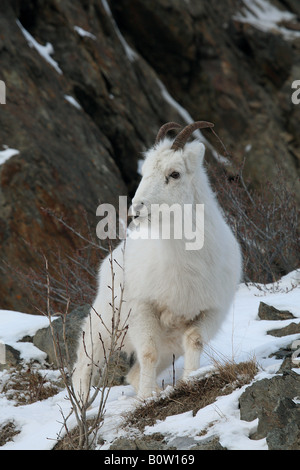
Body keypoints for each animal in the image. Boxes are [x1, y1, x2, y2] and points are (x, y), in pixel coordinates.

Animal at [72, 120, 241, 400]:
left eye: (174, 174)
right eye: (144, 172)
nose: (135, 211)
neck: (186, 264)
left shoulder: (207, 314)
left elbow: (194, 342)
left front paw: (189, 381)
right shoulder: (143, 311)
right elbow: (148, 353)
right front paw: (145, 399)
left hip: (169, 347)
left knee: (132, 374)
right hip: (102, 328)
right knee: (84, 368)